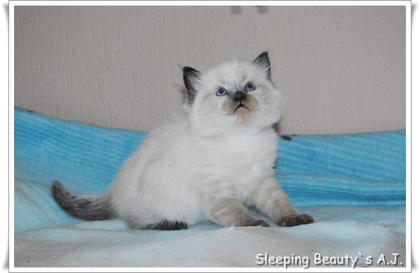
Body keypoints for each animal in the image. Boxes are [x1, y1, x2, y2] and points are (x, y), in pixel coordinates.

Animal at [52, 52, 314, 228]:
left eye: (249, 87)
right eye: (221, 92)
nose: (239, 96)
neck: (240, 137)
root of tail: (114, 191)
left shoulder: (262, 180)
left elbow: (279, 204)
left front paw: (294, 218)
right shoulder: (216, 188)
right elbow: (236, 212)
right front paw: (254, 224)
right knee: (134, 222)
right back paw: (171, 224)